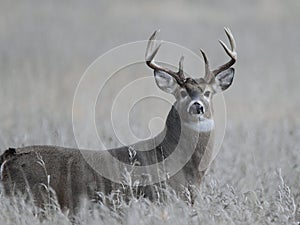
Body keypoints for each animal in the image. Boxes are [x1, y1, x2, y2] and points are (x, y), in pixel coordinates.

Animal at [0, 27, 237, 214]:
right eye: (182, 92)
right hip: (31, 199)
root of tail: (8, 157)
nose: (198, 106)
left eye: (208, 93)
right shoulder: (161, 198)